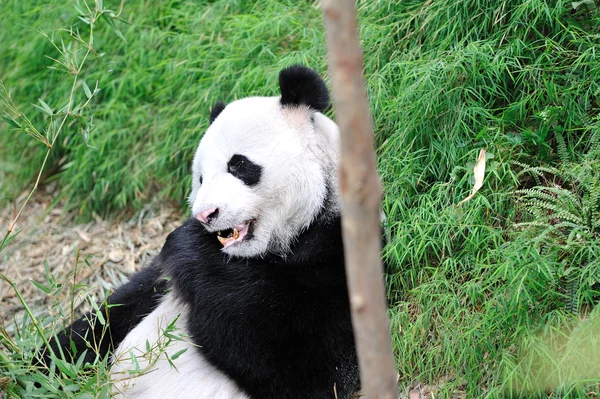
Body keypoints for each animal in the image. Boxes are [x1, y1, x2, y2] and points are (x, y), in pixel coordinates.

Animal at [44, 66, 360, 399]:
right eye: (201, 178)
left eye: (239, 165)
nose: (205, 215)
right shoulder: (159, 284)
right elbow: (109, 315)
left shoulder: (334, 254)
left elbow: (308, 364)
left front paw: (187, 243)